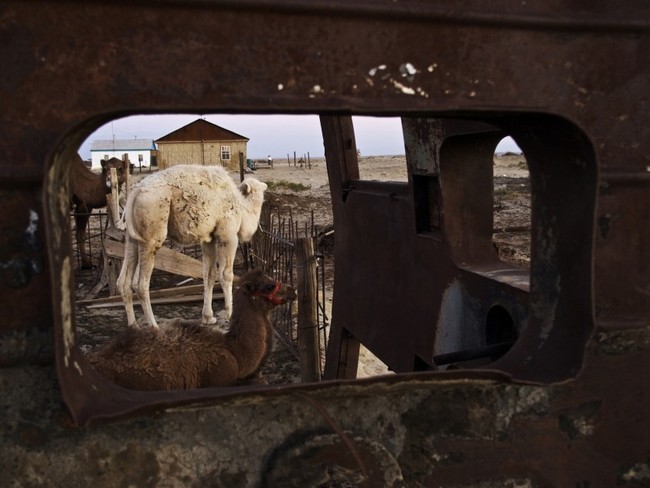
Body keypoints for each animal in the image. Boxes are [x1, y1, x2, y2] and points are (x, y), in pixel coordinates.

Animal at [116, 164, 266, 328]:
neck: (242, 208)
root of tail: (135, 192)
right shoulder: (227, 235)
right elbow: (226, 275)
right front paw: (231, 316)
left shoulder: (209, 239)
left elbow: (209, 275)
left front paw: (208, 318)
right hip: (152, 228)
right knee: (141, 284)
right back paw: (154, 326)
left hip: (132, 237)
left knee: (123, 281)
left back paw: (133, 325)